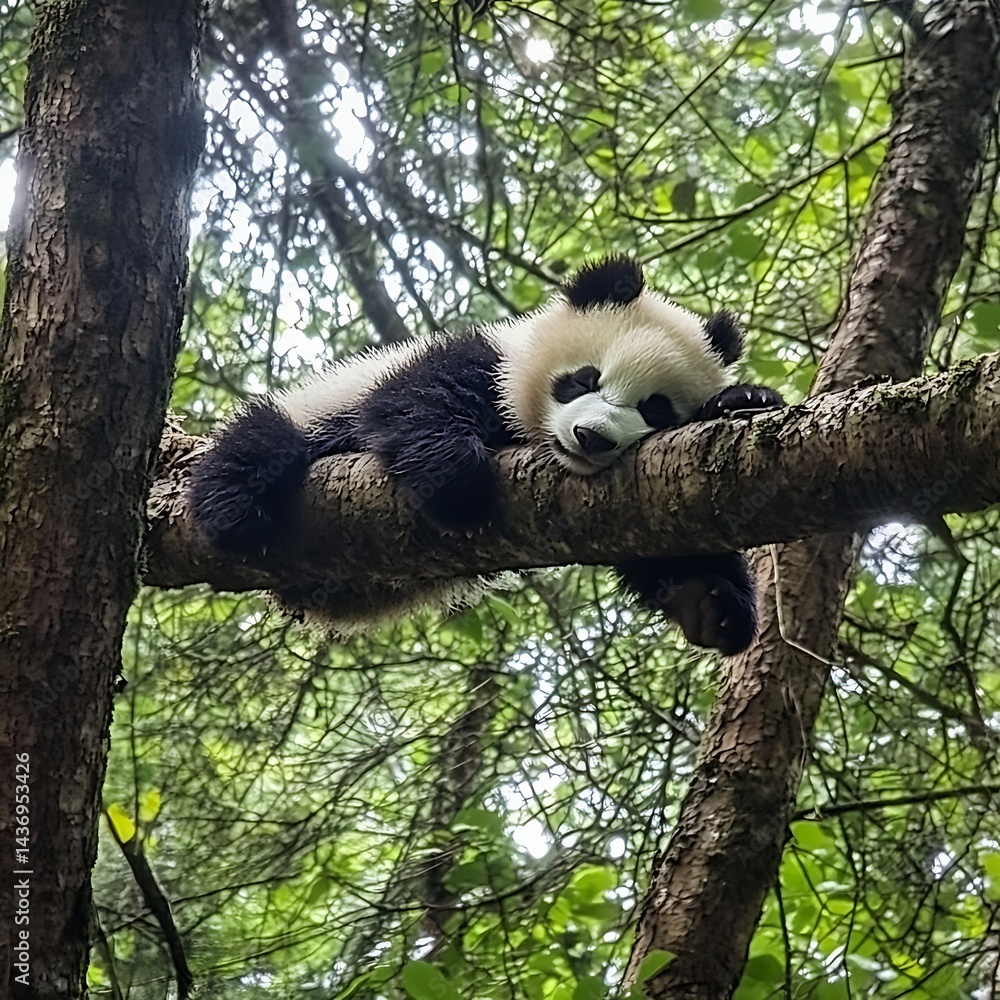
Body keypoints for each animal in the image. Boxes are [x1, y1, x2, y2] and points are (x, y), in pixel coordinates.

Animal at [189, 257, 784, 654]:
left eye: (655, 409)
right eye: (584, 378)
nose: (592, 438)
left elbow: (668, 544)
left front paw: (709, 603)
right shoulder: (476, 358)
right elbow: (415, 404)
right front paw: (457, 485)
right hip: (313, 409)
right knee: (264, 439)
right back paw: (233, 510)